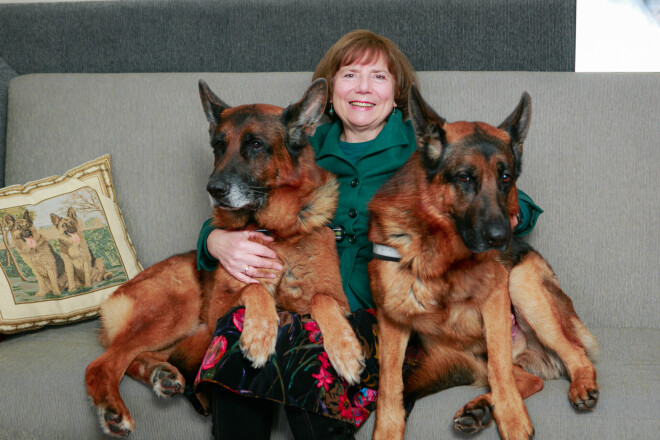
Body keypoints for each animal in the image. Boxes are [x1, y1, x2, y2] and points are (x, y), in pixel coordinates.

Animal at [84, 79, 364, 436]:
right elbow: (254, 287)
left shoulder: (339, 300)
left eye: (256, 145)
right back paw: (112, 410)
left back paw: (161, 374)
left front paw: (346, 349)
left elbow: (321, 299)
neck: (272, 230)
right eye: (218, 146)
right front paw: (259, 332)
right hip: (179, 306)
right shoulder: (220, 306)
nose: (213, 190)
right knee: (102, 364)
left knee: (133, 358)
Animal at [372, 87, 600, 440]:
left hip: (521, 284)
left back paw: (579, 385)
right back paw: (479, 408)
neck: (443, 256)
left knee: (568, 355)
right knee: (526, 378)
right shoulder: (391, 319)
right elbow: (389, 384)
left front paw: (514, 422)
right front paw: (386, 430)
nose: (501, 237)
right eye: (465, 178)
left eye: (506, 177)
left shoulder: (495, 300)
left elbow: (500, 368)